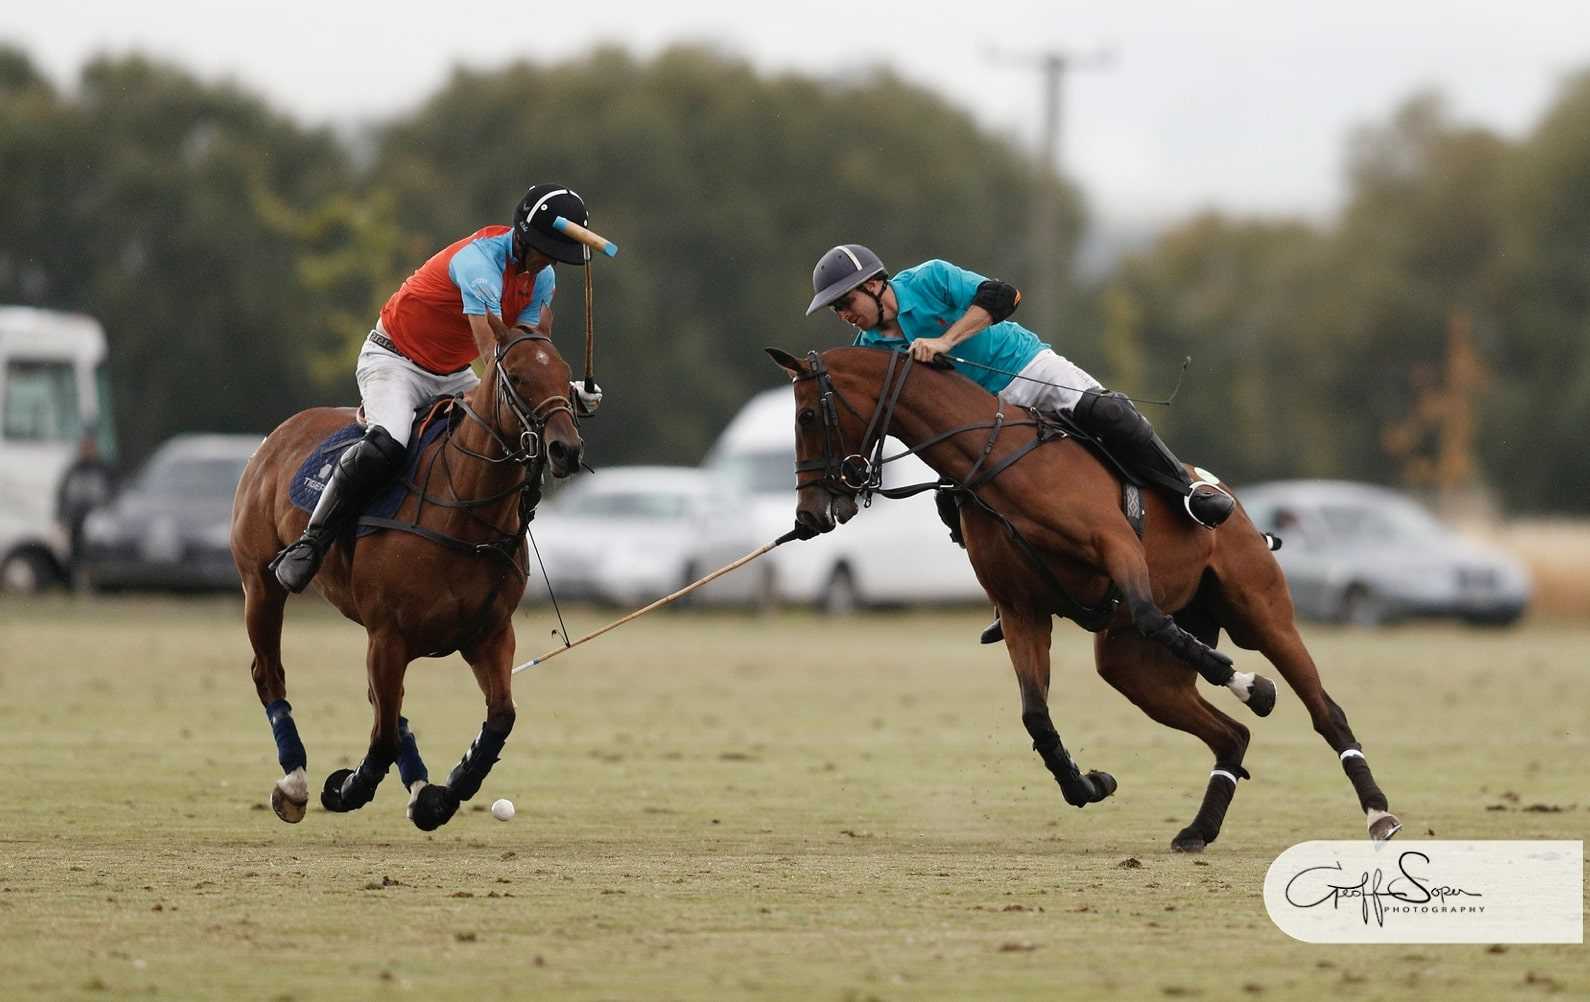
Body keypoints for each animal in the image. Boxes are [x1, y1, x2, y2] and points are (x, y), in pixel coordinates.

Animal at [230, 327, 585, 833]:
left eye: (564, 374)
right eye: (516, 376)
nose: (565, 449)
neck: (465, 510)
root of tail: (278, 434)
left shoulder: (490, 634)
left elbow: (500, 717)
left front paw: (443, 793)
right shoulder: (389, 634)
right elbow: (381, 739)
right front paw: (346, 789)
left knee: (384, 703)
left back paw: (417, 788)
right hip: (261, 585)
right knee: (270, 673)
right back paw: (294, 783)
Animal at [769, 349, 1405, 852]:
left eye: (806, 415)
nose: (809, 517)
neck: (993, 460)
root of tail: (1240, 505)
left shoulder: (1117, 546)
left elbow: (1154, 618)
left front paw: (1249, 683)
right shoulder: (1022, 609)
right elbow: (1035, 711)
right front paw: (1086, 784)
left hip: (1261, 612)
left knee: (1325, 711)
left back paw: (1378, 811)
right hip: (1130, 667)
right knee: (1231, 735)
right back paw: (1198, 830)